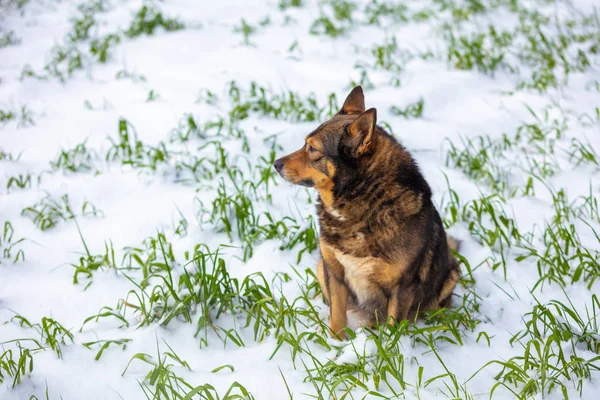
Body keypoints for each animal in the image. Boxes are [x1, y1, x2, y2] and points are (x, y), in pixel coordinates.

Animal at [274, 86, 462, 338]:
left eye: (312, 148)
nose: (276, 164)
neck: (364, 201)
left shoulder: (403, 286)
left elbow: (393, 330)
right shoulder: (335, 272)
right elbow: (337, 317)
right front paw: (337, 343)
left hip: (451, 275)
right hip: (321, 268)